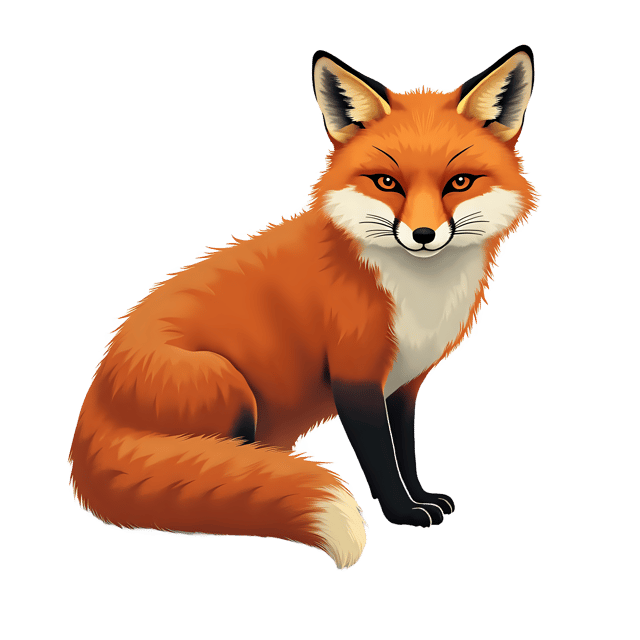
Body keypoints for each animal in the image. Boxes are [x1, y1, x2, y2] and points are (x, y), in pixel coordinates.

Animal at [68, 46, 540, 570]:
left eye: (459, 182)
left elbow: (406, 451)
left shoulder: (404, 382)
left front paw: (420, 497)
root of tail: (92, 408)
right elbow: (381, 458)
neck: (416, 294)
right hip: (226, 383)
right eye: (387, 182)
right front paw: (402, 512)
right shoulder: (355, 374)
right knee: (225, 464)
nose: (422, 235)